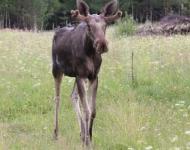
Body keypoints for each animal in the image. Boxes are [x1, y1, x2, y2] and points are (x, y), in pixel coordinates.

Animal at [51, 0, 121, 147]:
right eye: (89, 26)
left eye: (105, 25)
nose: (102, 44)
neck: (91, 54)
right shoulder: (81, 75)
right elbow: (86, 110)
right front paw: (88, 142)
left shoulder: (93, 76)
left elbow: (92, 110)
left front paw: (89, 137)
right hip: (57, 69)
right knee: (57, 98)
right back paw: (56, 132)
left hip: (75, 75)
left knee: (73, 96)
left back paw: (82, 133)